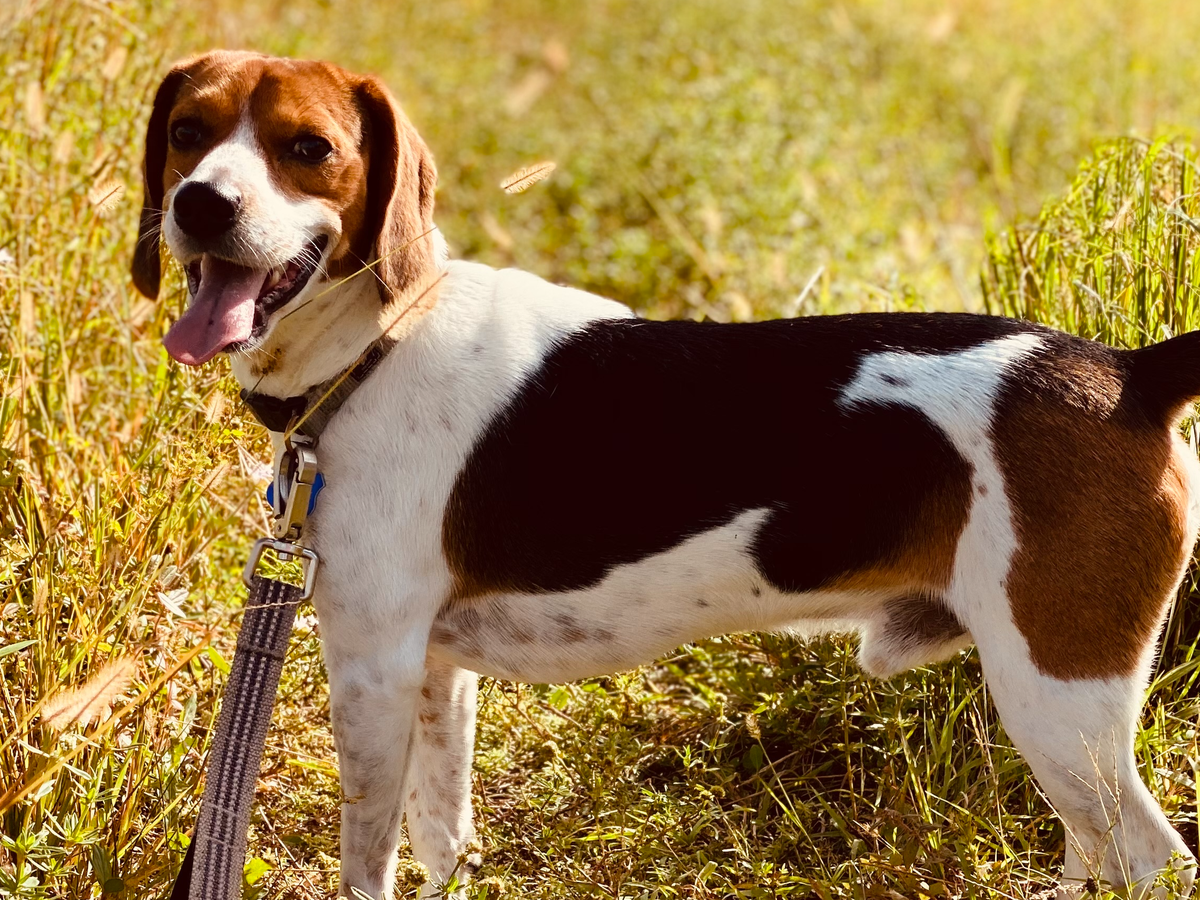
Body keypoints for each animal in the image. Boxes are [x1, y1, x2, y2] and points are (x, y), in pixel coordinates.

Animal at [133, 50, 1200, 899]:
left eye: (307, 147)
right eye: (187, 133)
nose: (200, 205)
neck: (377, 344)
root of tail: (1129, 372)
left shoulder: (372, 665)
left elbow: (369, 858)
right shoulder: (434, 669)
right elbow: (441, 836)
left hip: (1060, 697)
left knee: (1150, 859)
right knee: (1099, 855)